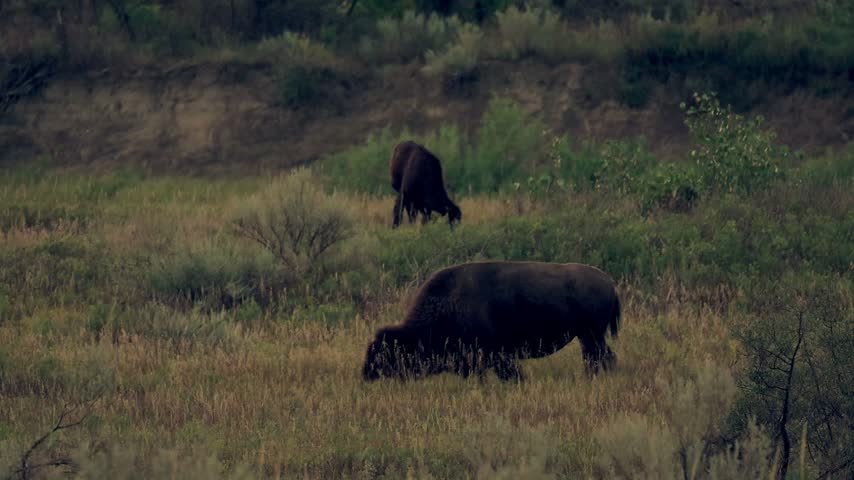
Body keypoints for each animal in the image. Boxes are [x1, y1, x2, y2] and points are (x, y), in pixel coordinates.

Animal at [363, 261, 621, 382]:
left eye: (387, 352)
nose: (367, 374)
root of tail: (608, 283)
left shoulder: (497, 355)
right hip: (589, 337)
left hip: (591, 336)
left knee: (597, 358)